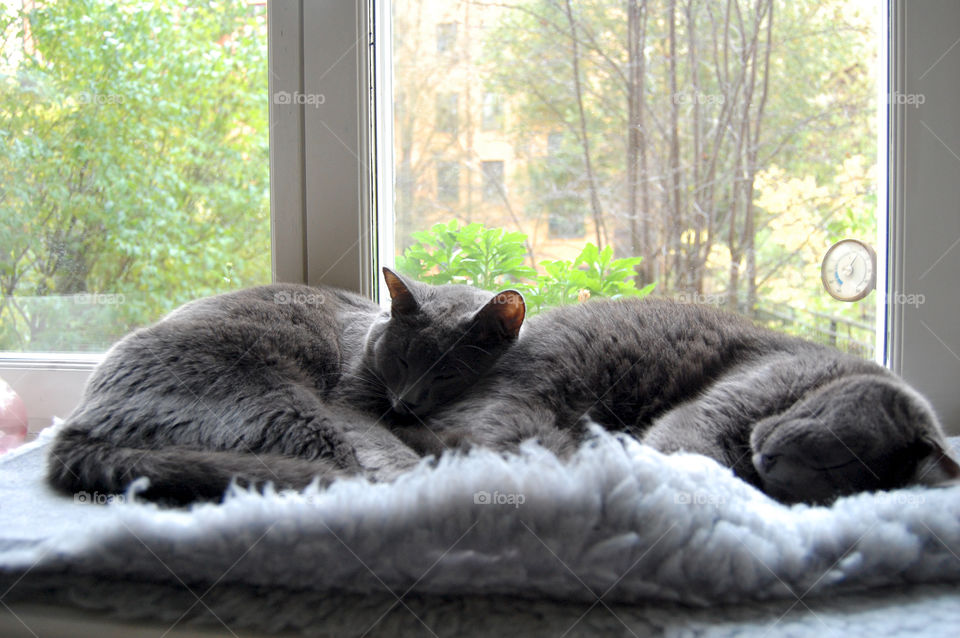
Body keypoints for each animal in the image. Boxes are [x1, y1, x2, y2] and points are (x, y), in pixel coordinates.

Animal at [45, 270, 524, 504]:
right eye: (401, 360)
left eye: (446, 374)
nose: (406, 400)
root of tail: (75, 426)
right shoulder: (348, 405)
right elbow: (383, 444)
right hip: (287, 404)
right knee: (343, 470)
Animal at [406, 298, 960, 504]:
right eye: (823, 419)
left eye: (832, 474)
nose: (770, 456)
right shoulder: (722, 402)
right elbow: (693, 448)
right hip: (532, 400)